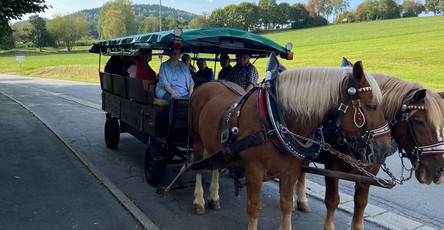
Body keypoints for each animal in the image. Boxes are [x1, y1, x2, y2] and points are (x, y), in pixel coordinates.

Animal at [189, 61, 390, 230]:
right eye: (371, 106)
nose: (386, 147)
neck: (273, 121)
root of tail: (209, 84)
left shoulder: (291, 171)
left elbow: (286, 205)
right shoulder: (254, 171)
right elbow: (254, 208)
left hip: (217, 147)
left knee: (215, 164)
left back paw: (213, 196)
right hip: (196, 139)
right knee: (197, 166)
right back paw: (199, 200)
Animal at [294, 72, 444, 230]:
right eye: (419, 121)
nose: (441, 170)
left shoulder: (370, 173)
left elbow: (361, 203)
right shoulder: (332, 168)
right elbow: (332, 200)